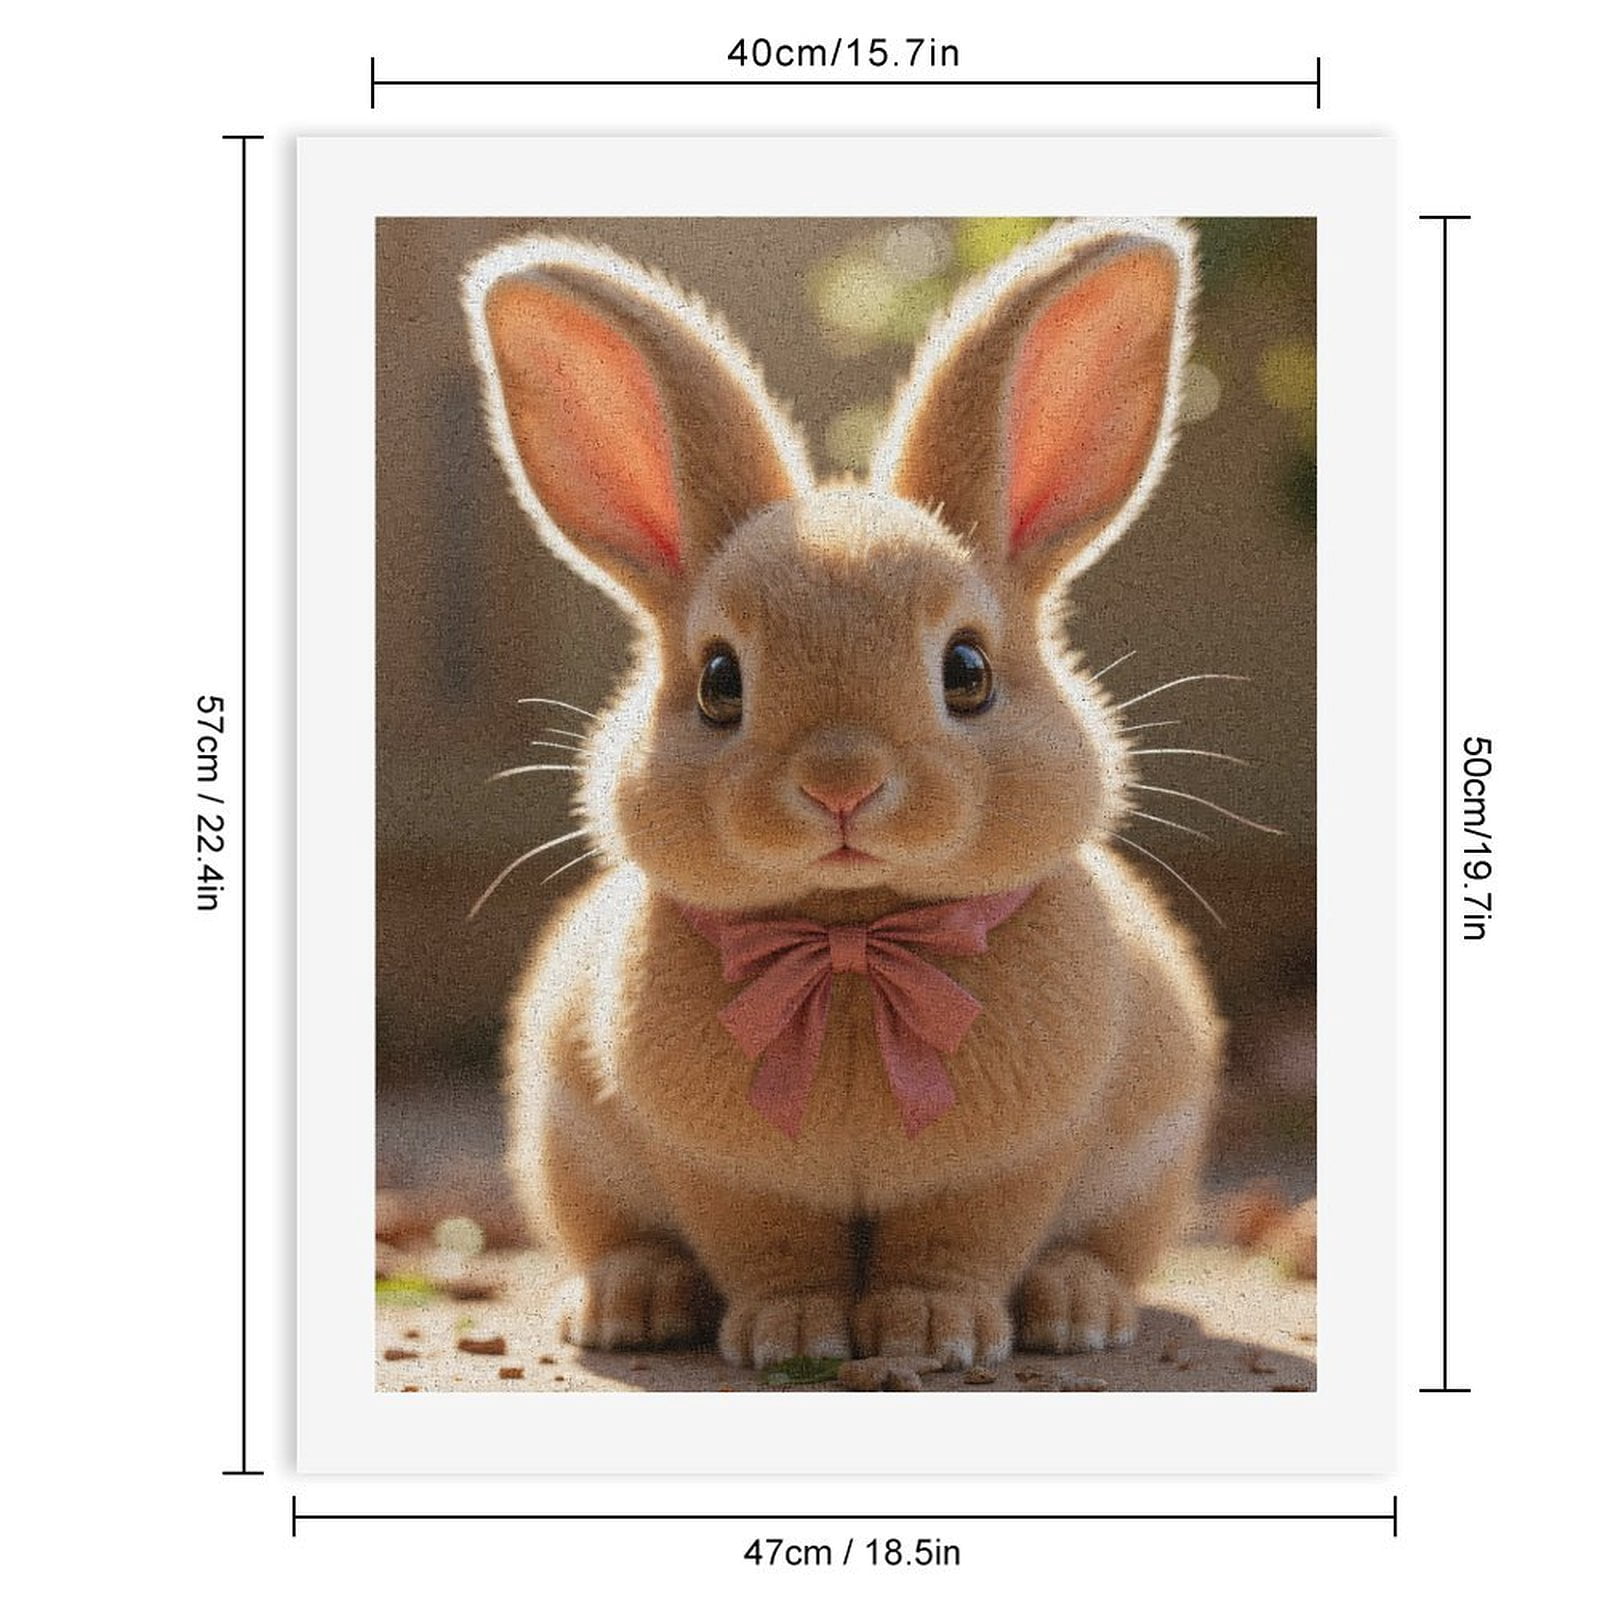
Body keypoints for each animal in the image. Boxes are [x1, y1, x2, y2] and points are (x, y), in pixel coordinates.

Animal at [462, 217, 1223, 1371]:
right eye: (719, 683)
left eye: (967, 671)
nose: (841, 785)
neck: (853, 940)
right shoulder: (728, 1177)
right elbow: (773, 1252)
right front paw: (790, 1337)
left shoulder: (1008, 1167)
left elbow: (956, 1246)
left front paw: (933, 1335)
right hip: (570, 1157)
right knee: (624, 1239)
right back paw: (628, 1303)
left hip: (1147, 1175)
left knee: (1101, 1251)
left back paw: (1075, 1307)